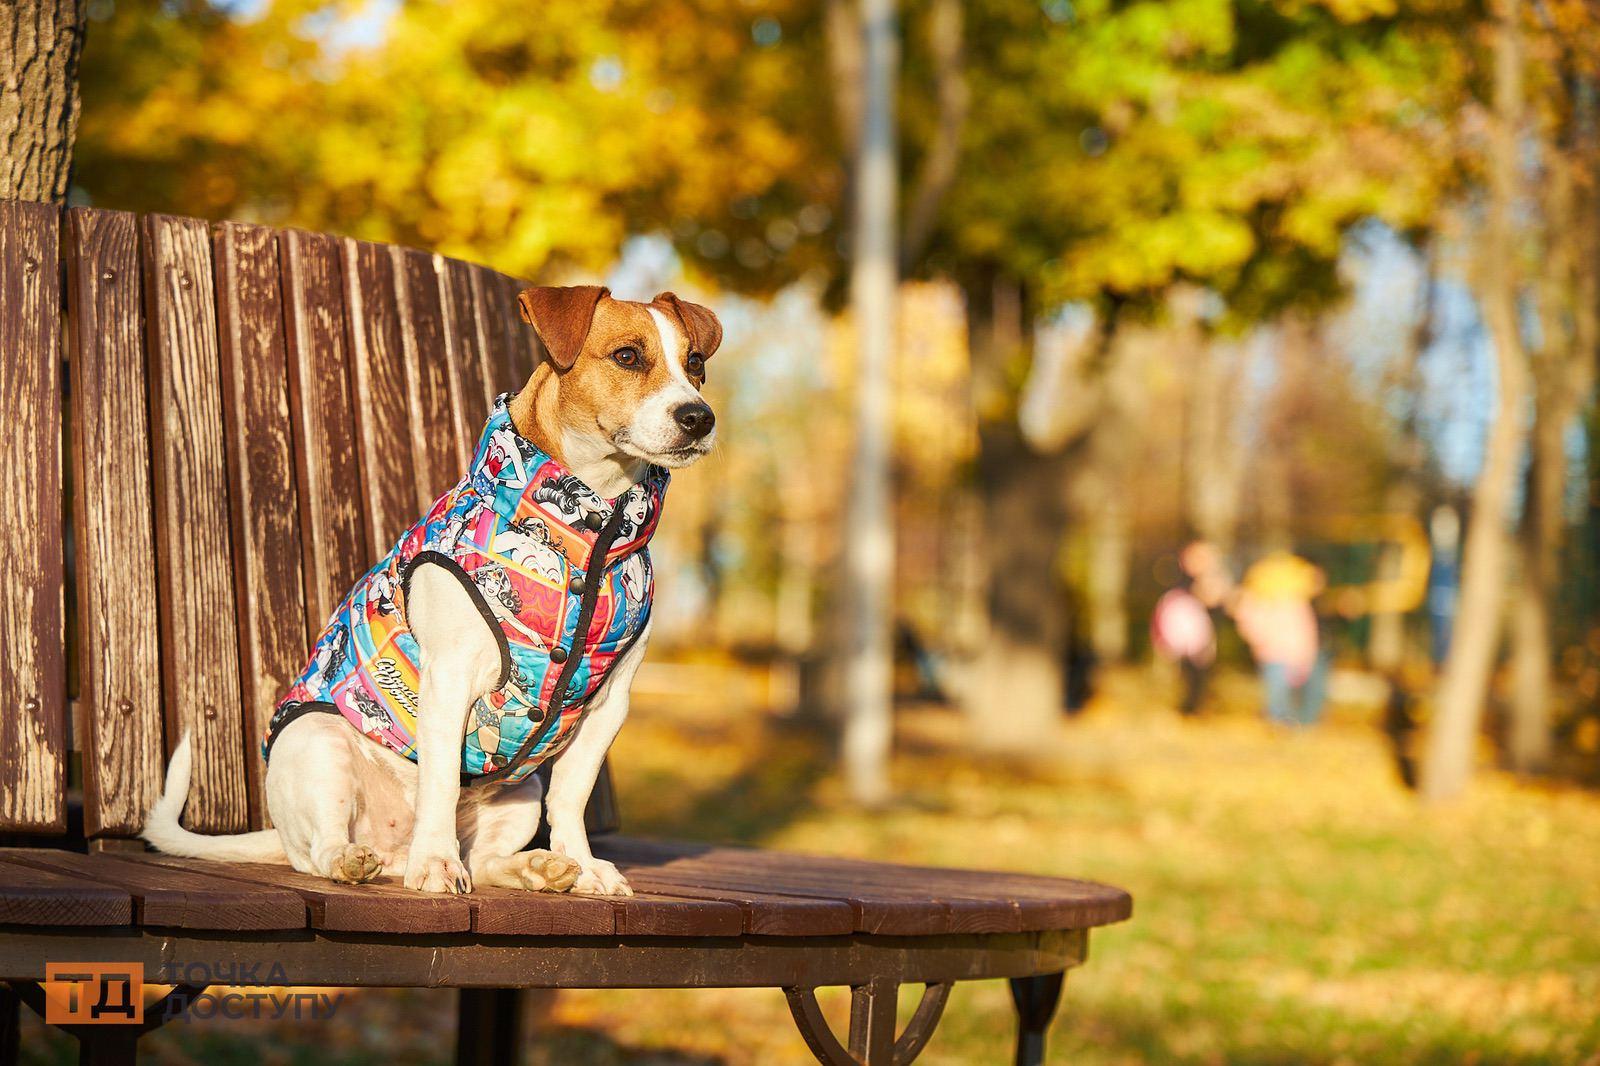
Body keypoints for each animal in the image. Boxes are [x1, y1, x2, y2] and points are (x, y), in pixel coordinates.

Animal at [144, 286, 720, 889]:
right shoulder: (449, 679)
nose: (698, 417)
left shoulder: (607, 707)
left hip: (519, 796)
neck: (591, 531)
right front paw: (438, 864)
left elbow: (571, 797)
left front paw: (583, 865)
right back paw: (361, 859)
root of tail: (391, 850)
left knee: (485, 859)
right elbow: (441, 782)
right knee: (321, 850)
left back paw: (535, 867)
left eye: (695, 364)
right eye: (627, 356)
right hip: (319, 747)